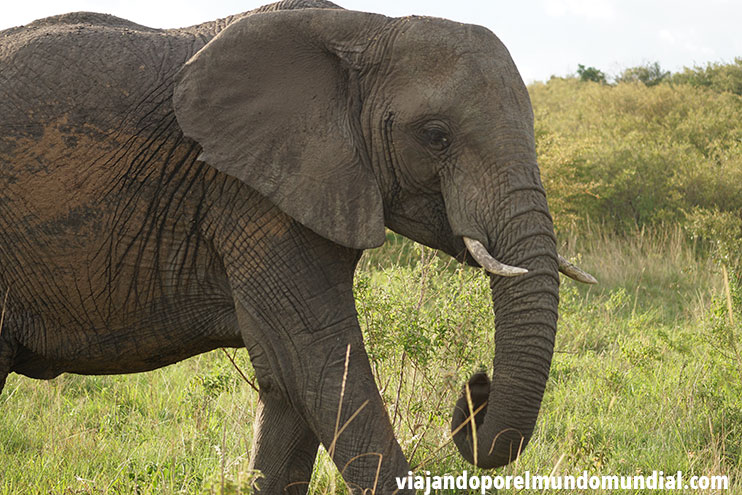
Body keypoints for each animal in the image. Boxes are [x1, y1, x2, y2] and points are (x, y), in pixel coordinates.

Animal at [0, 0, 596, 492]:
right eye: (435, 136)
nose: (478, 384)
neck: (365, 29)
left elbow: (289, 383)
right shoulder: (248, 196)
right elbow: (321, 361)